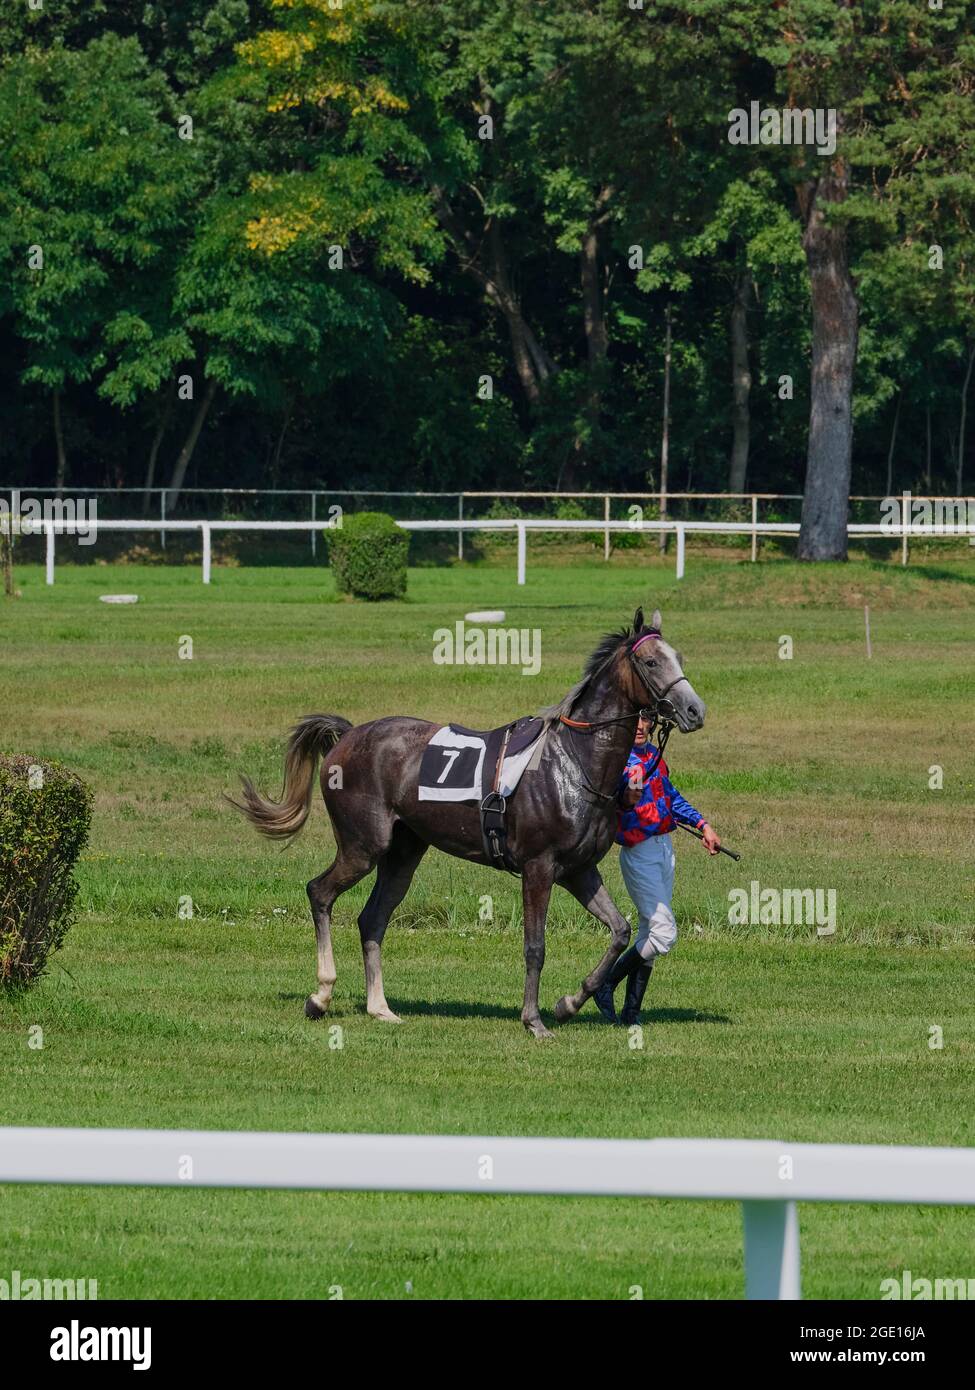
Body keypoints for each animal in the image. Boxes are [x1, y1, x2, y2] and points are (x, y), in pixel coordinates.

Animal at [231, 607, 705, 1038]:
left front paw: (569, 1003)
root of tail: (348, 735)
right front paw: (533, 1020)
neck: (573, 762)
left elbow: (620, 931)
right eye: (651, 662)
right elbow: (535, 947)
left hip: (403, 854)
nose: (694, 710)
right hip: (362, 848)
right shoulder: (539, 868)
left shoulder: (579, 870)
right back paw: (321, 995)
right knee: (320, 893)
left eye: (679, 656)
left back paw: (380, 1007)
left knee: (372, 919)